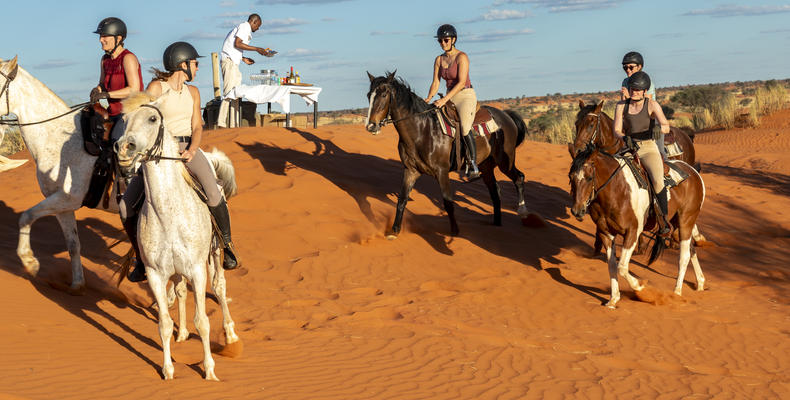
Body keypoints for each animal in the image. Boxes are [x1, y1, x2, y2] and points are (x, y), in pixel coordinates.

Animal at [0, 56, 117, 294]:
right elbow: (73, 245)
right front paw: (77, 284)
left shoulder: (66, 198)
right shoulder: (63, 205)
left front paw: (30, 262)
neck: (57, 136)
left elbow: (26, 216)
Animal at [365, 71, 539, 238]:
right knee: (495, 191)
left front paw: (455, 231)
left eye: (384, 94)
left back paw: (523, 212)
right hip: (486, 166)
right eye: (368, 95)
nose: (371, 126)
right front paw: (394, 230)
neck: (422, 130)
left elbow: (448, 202)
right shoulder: (411, 171)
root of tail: (506, 115)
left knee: (519, 178)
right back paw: (497, 222)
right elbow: (402, 200)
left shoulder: (442, 172)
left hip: (505, 161)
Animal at [568, 144, 706, 308]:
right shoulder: (605, 233)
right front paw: (613, 299)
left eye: (589, 178)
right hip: (678, 225)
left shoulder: (632, 232)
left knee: (684, 256)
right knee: (691, 249)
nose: (577, 210)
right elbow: (612, 266)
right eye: (571, 177)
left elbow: (622, 267)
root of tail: (694, 173)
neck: (617, 189)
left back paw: (677, 292)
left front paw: (640, 287)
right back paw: (700, 283)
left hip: (686, 220)